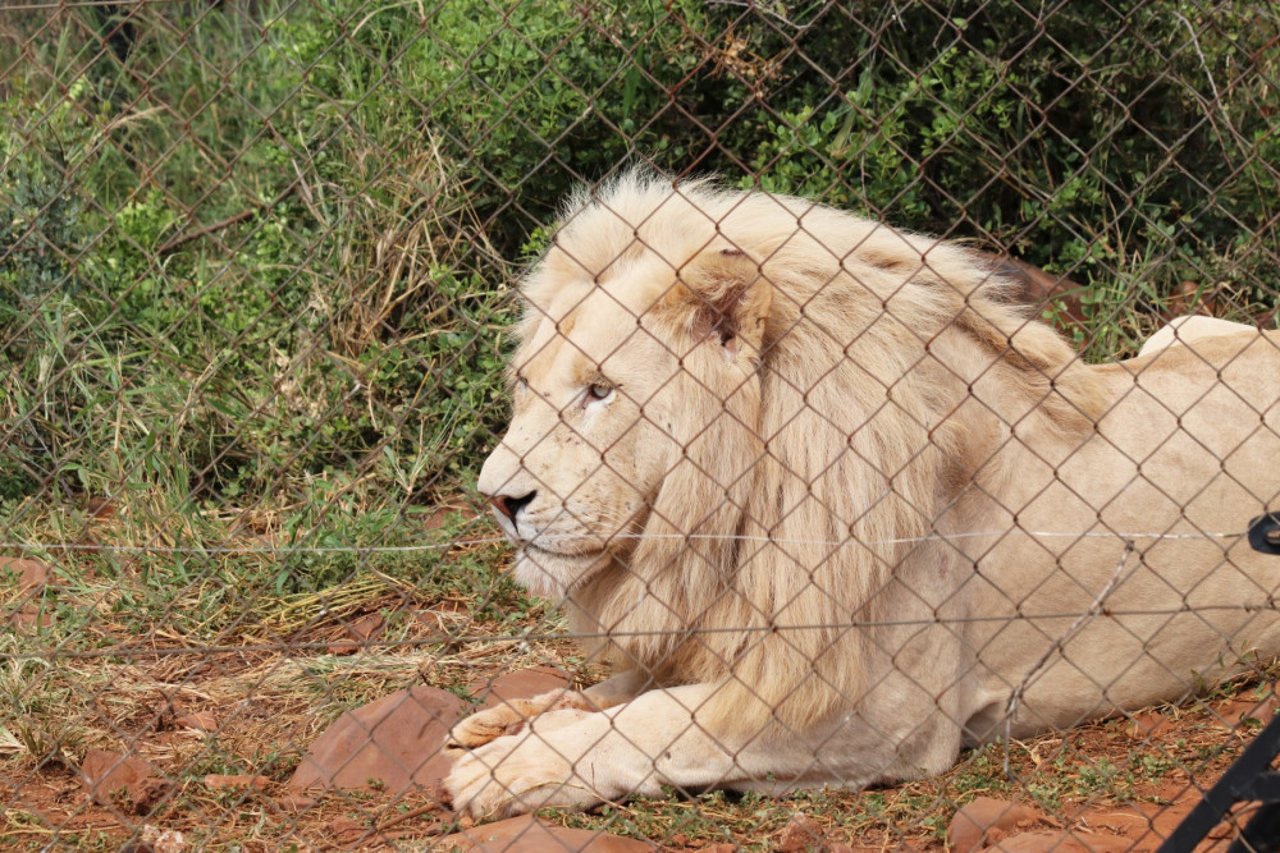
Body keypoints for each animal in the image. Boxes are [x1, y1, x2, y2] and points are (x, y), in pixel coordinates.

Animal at [442, 171, 1280, 819]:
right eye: (528, 387)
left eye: (599, 390)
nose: (497, 499)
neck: (736, 509)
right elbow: (621, 687)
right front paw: (505, 720)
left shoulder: (884, 716)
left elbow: (657, 717)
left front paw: (510, 766)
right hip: (1180, 328)